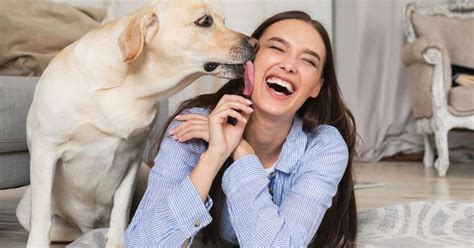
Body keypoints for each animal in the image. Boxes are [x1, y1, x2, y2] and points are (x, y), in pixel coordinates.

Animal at [15, 0, 256, 247]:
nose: (255, 44)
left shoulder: (132, 155)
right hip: (26, 208)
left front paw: (116, 240)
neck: (130, 87)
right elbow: (42, 217)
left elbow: (121, 209)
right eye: (205, 21)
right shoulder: (46, 150)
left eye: (223, 21)